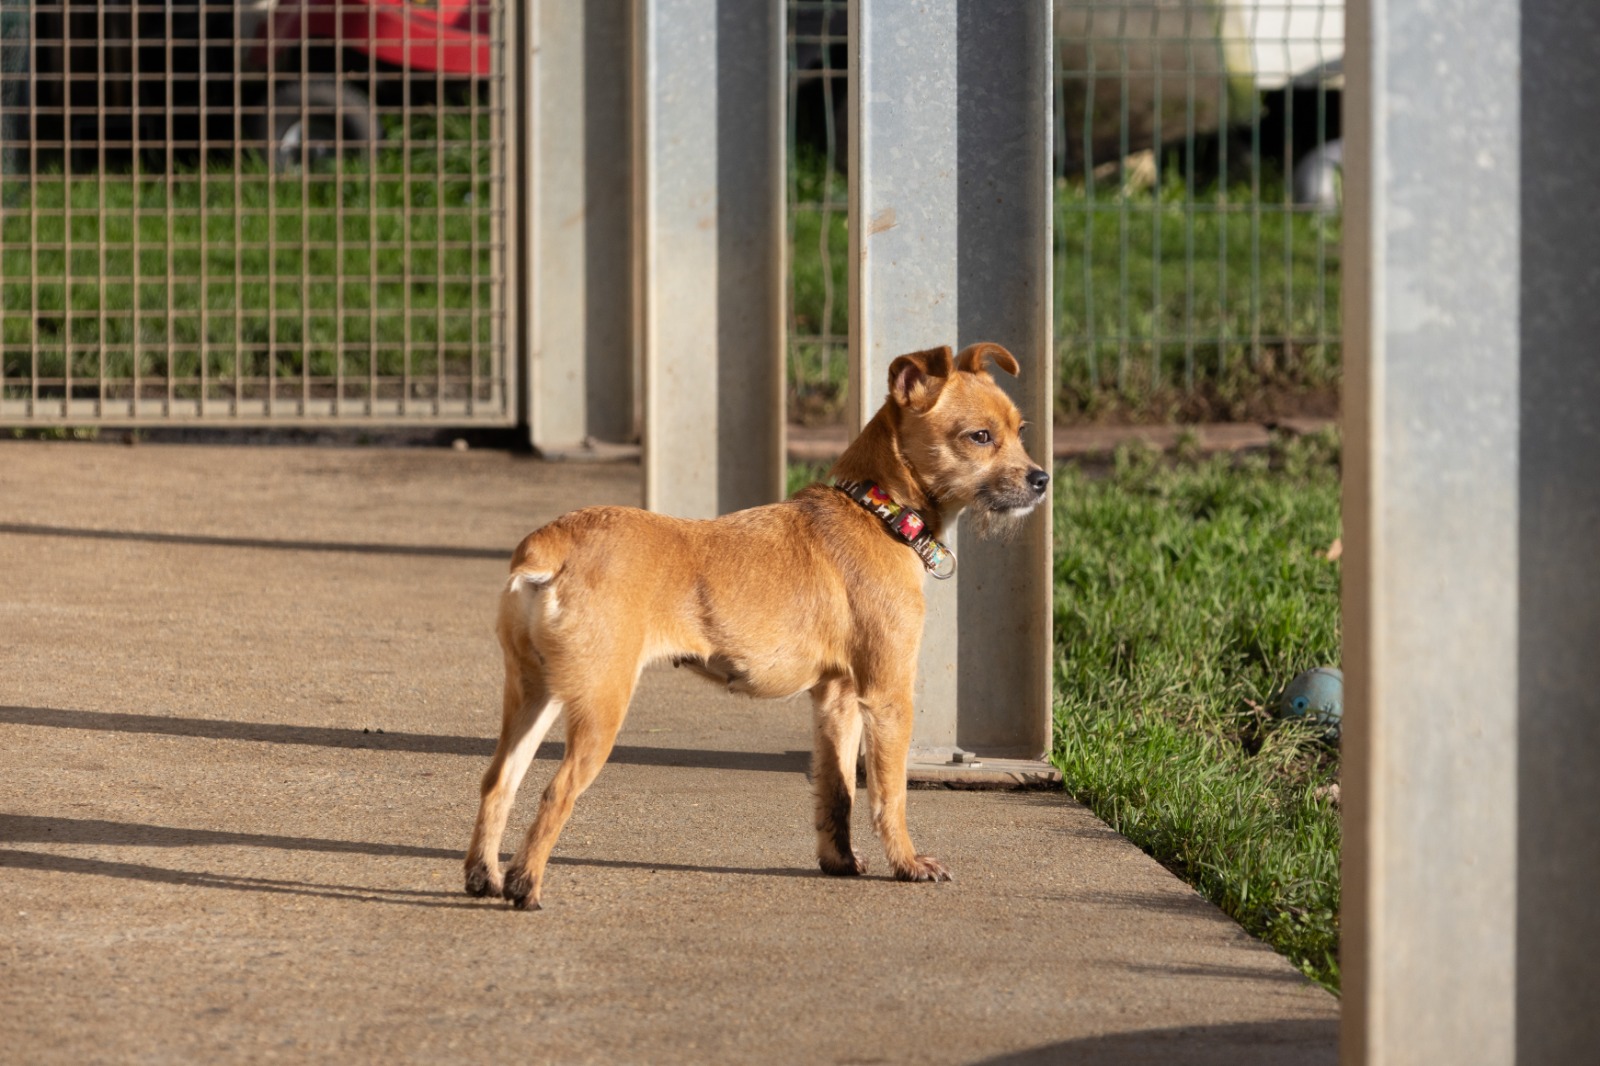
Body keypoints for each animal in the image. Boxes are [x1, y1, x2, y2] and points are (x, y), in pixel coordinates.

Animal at [463, 342, 1050, 909]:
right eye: (980, 437)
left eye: (1021, 431)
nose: (1043, 479)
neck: (877, 511)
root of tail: (553, 542)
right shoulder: (887, 696)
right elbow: (889, 793)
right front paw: (907, 863)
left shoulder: (837, 700)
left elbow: (837, 789)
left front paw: (840, 861)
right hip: (599, 705)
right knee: (554, 791)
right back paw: (524, 886)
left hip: (535, 695)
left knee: (498, 781)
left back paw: (484, 876)